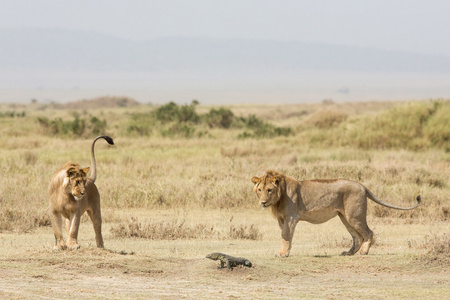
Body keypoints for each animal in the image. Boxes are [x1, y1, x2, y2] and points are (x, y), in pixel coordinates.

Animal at [251, 170, 420, 256]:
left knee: (368, 232)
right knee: (357, 237)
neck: (278, 198)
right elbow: (283, 236)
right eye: (260, 190)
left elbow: (286, 236)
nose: (263, 202)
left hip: (354, 216)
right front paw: (283, 251)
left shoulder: (291, 218)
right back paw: (348, 253)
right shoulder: (281, 219)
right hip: (345, 217)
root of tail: (361, 185)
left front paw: (283, 253)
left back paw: (364, 252)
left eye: (269, 190)